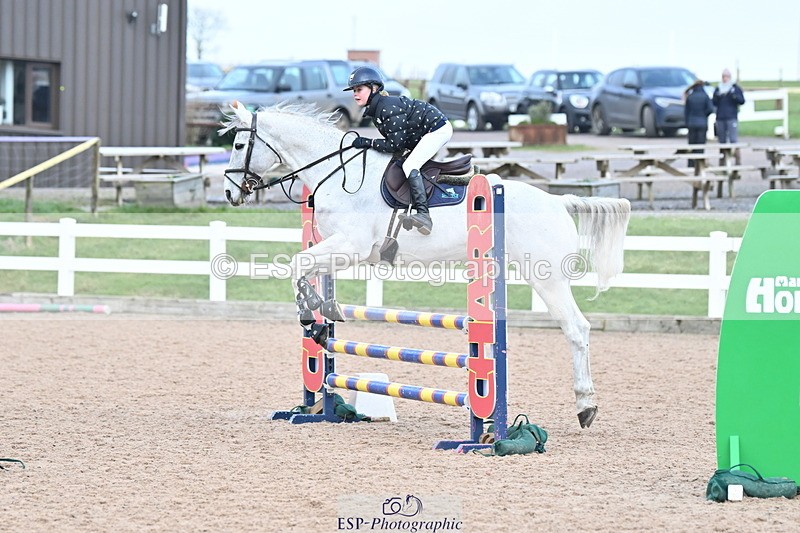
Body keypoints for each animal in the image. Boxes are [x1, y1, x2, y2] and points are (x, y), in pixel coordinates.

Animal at [220, 102, 631, 429]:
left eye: (239, 145)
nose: (228, 192)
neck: (337, 175)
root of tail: (559, 201)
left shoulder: (352, 246)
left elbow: (296, 264)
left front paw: (313, 319)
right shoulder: (338, 247)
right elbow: (306, 269)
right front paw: (323, 316)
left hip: (546, 278)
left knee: (576, 328)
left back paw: (585, 406)